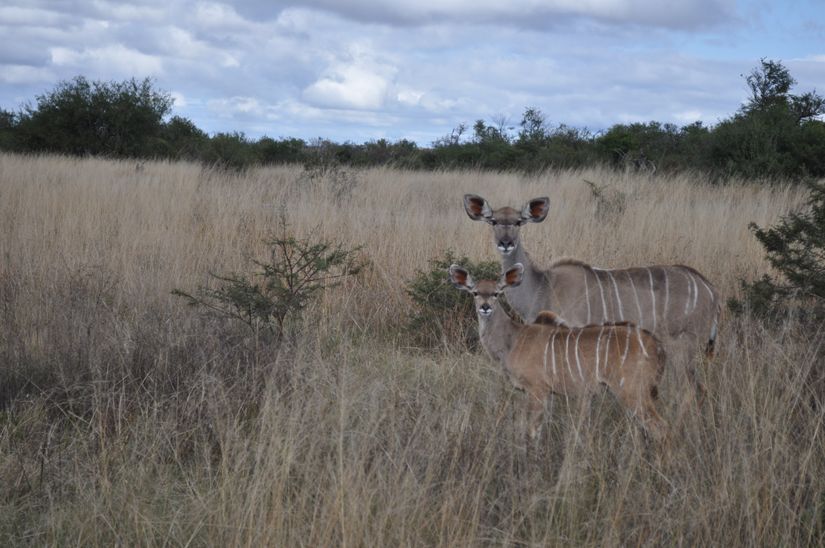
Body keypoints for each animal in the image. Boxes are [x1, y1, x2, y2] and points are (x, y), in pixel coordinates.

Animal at [448, 262, 668, 440]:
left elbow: (532, 432)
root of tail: (655, 344)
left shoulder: (537, 389)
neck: (513, 339)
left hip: (633, 391)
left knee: (661, 428)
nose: (485, 307)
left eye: (496, 293)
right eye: (475, 292)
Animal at [464, 195, 720, 392]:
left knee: (694, 389)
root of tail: (710, 289)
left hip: (684, 347)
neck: (542, 286)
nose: (505, 243)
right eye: (493, 221)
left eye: (518, 222)